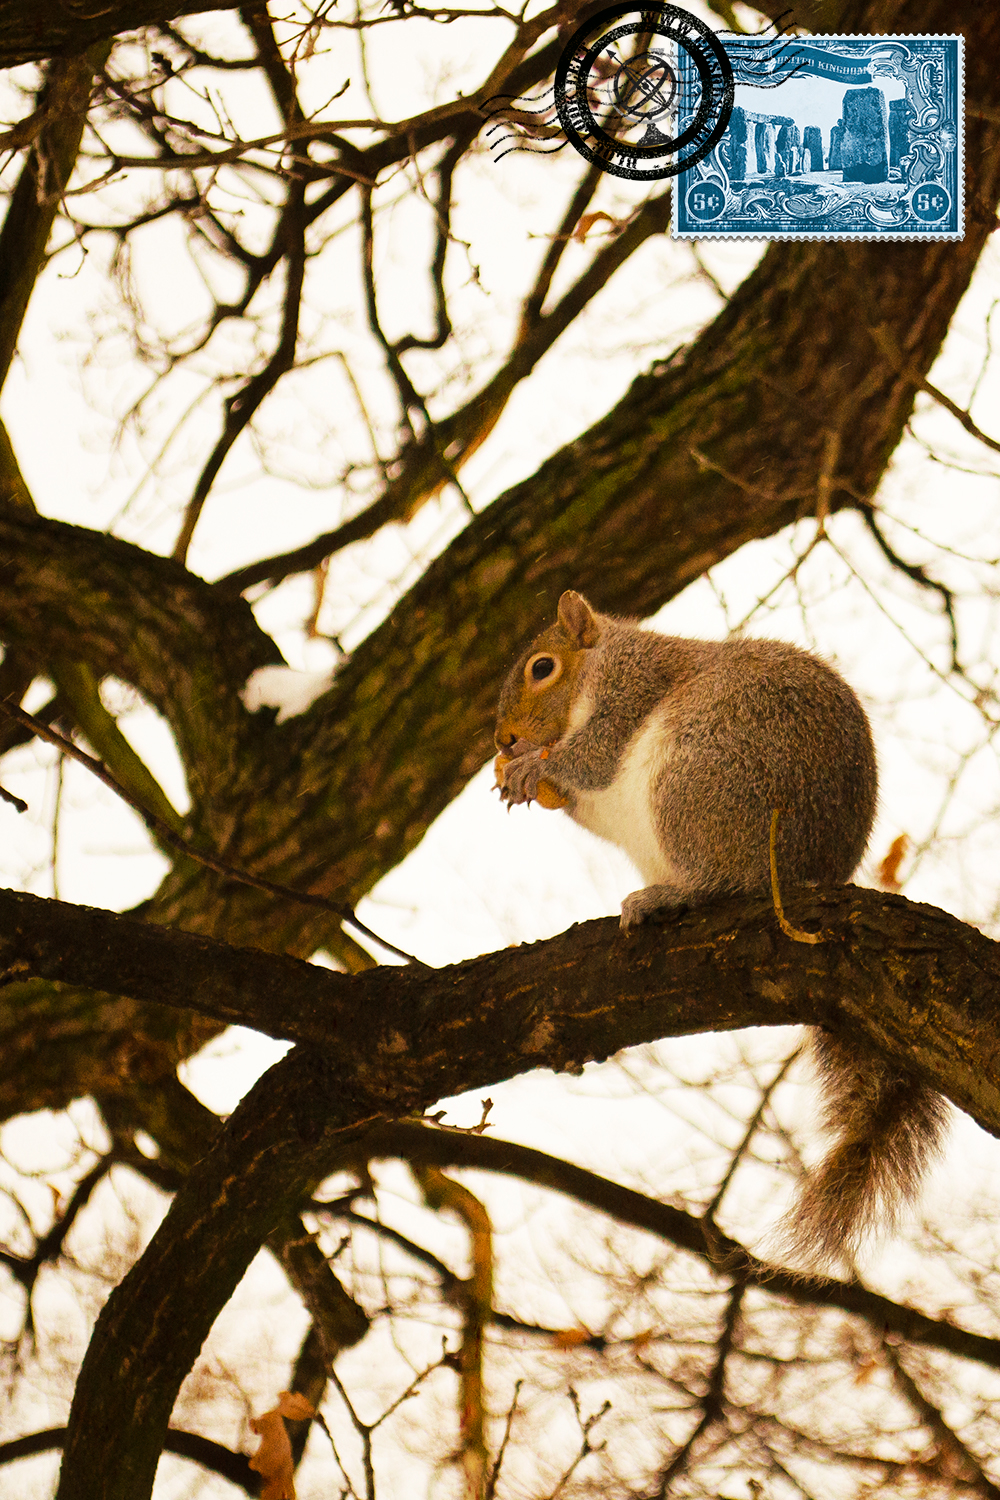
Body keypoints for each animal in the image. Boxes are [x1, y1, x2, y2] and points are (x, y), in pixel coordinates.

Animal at [497, 591, 953, 1272]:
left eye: (541, 668)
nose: (503, 739)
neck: (605, 661)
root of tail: (804, 872)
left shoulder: (629, 694)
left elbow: (594, 757)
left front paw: (529, 766)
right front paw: (525, 780)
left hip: (697, 778)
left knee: (722, 879)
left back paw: (666, 896)